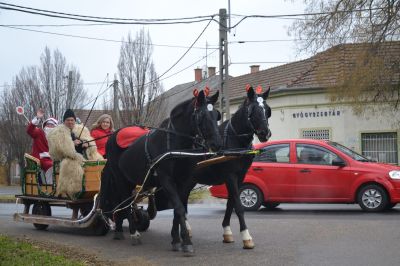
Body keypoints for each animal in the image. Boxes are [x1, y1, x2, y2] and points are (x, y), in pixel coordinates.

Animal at [97, 90, 222, 256]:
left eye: (216, 115)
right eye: (201, 116)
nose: (217, 144)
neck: (176, 145)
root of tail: (112, 136)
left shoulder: (183, 182)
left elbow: (179, 209)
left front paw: (176, 240)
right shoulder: (166, 179)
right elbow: (179, 208)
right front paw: (186, 242)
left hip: (129, 180)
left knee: (124, 202)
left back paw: (118, 230)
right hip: (119, 178)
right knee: (124, 200)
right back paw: (133, 233)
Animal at [175, 85, 272, 249]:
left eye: (267, 110)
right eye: (252, 110)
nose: (265, 133)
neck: (235, 141)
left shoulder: (240, 177)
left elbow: (230, 204)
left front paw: (227, 231)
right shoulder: (230, 176)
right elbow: (238, 206)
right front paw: (246, 236)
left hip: (191, 180)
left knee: (184, 199)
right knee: (181, 200)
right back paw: (185, 230)